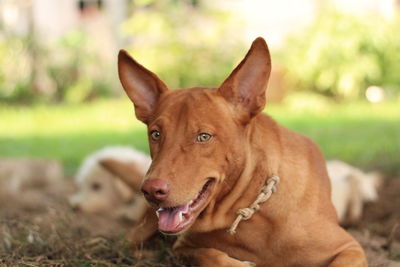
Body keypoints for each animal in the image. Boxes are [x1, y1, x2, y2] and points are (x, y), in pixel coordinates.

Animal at [117, 38, 368, 267]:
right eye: (156, 134)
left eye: (203, 137)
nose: (151, 190)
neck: (250, 206)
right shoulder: (184, 246)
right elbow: (209, 255)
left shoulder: (349, 249)